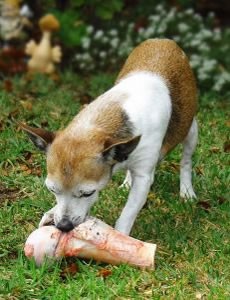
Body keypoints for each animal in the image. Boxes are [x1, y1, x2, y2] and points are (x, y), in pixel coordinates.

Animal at [21, 38, 198, 236]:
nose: (64, 226)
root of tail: (163, 40)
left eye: (88, 193)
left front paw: (120, 236)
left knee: (186, 161)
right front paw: (52, 212)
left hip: (191, 130)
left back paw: (187, 190)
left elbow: (128, 212)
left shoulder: (143, 178)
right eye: (52, 190)